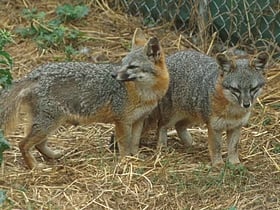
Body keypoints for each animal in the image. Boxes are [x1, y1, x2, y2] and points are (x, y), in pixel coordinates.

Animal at [0, 28, 170, 169]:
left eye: (132, 67)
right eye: (122, 64)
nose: (113, 75)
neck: (145, 94)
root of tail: (34, 74)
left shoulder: (138, 120)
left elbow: (134, 143)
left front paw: (136, 158)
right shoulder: (122, 121)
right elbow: (124, 145)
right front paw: (125, 161)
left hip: (50, 123)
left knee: (38, 144)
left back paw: (53, 155)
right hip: (48, 123)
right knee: (23, 144)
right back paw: (34, 167)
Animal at [109, 49, 270, 167]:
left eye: (253, 89)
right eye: (235, 89)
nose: (246, 104)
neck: (233, 112)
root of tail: (170, 58)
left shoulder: (236, 127)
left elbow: (233, 147)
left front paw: (235, 163)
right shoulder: (214, 127)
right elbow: (216, 147)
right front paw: (218, 164)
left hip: (193, 115)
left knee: (179, 126)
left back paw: (190, 144)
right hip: (172, 115)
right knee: (162, 126)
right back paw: (162, 146)